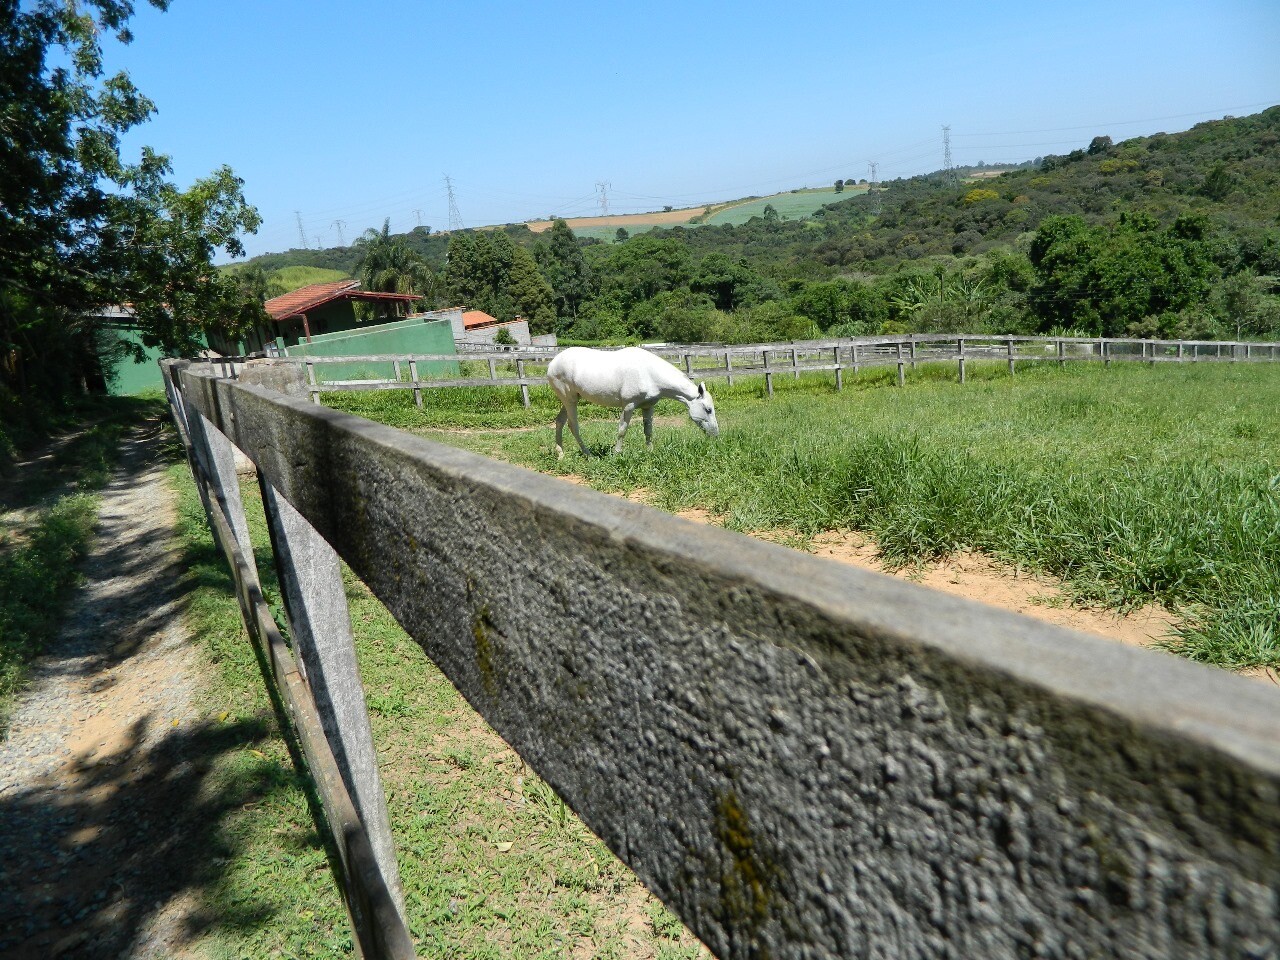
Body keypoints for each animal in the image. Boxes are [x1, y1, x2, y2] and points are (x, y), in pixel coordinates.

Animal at [542, 348, 716, 460]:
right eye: (708, 410)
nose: (715, 434)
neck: (649, 373)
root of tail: (552, 364)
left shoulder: (648, 407)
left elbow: (648, 431)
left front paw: (650, 452)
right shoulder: (628, 406)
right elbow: (622, 431)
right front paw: (617, 454)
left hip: (570, 400)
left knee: (559, 422)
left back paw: (561, 454)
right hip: (570, 400)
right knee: (573, 426)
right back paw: (588, 455)